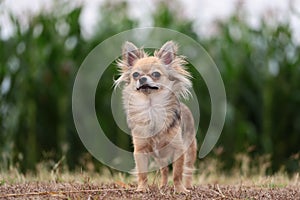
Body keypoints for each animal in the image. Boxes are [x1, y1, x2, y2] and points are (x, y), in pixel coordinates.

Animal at [114, 40, 197, 192]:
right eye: (135, 74)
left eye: (156, 74)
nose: (142, 78)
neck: (151, 108)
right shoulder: (140, 151)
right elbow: (142, 173)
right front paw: (142, 188)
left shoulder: (179, 149)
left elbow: (177, 173)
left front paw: (180, 189)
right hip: (160, 158)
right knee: (164, 171)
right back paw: (163, 185)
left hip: (190, 148)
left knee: (188, 169)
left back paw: (188, 185)